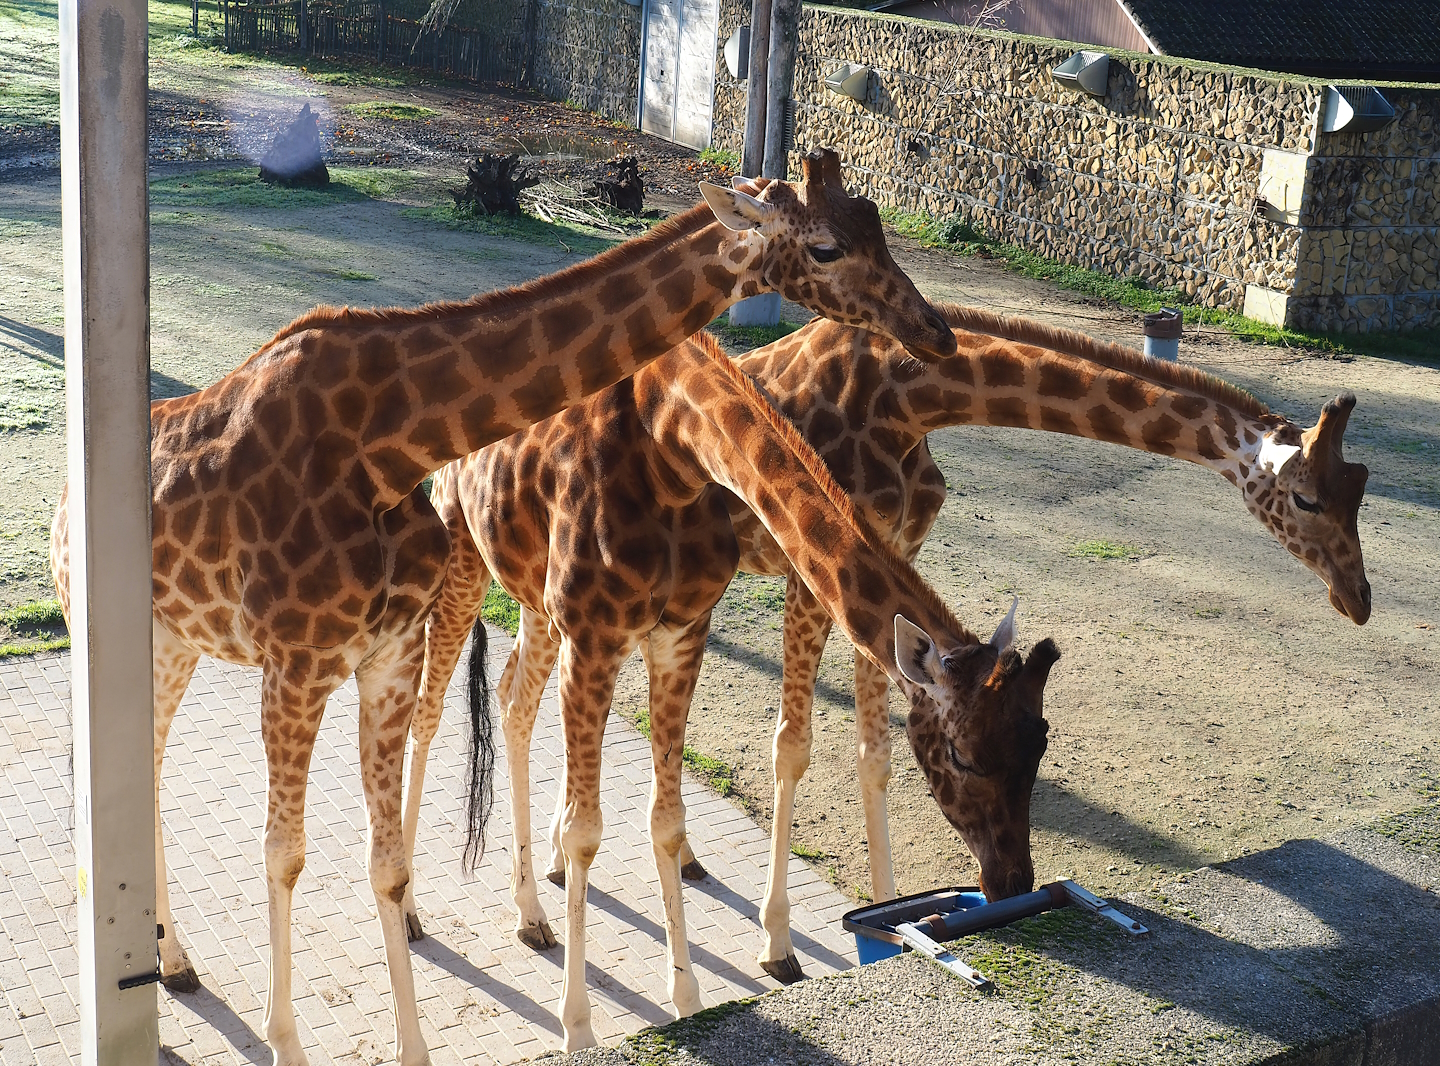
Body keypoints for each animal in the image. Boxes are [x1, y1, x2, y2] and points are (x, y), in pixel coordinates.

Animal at [48, 148, 955, 1066]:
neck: (388, 446)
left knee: (152, 766)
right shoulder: (297, 662)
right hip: (121, 630)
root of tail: (62, 499)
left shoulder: (385, 655)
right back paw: (167, 958)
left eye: (878, 226)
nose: (936, 332)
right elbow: (284, 855)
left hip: (178, 641)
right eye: (827, 247)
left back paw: (174, 958)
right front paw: (285, 1043)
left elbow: (385, 863)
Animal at [410, 330, 1060, 1049]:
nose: (1013, 884)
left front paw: (689, 994)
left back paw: (530, 908)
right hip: (462, 553)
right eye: (964, 759)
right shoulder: (606, 628)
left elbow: (666, 816)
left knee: (513, 698)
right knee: (429, 710)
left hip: (533, 597)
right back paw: (416, 913)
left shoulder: (676, 629)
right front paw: (579, 1027)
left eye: (1042, 746)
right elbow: (599, 826)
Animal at [437, 303, 1371, 985]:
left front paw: (891, 915)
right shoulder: (811, 578)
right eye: (1310, 499)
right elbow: (795, 746)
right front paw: (778, 947)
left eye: (1360, 491)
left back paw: (606, 866)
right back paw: (542, 895)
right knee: (523, 689)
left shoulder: (898, 552)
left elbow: (875, 753)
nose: (1358, 600)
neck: (910, 393)